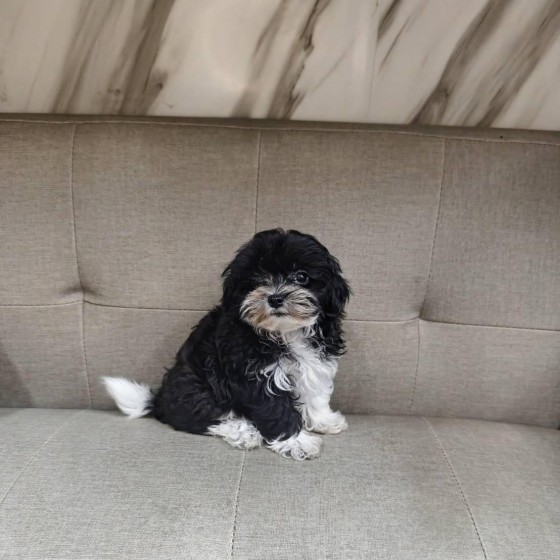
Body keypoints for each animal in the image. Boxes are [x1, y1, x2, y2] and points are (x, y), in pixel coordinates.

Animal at [104, 228, 350, 460]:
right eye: (256, 279)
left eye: (301, 276)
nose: (275, 298)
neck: (284, 332)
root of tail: (159, 400)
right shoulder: (253, 375)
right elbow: (277, 409)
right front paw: (296, 442)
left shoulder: (316, 362)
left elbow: (315, 392)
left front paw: (323, 420)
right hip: (194, 386)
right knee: (207, 415)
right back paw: (244, 432)